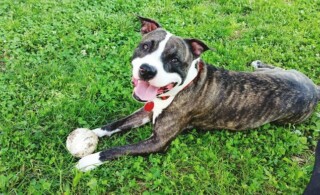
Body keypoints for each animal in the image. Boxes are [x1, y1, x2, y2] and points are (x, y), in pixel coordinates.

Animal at [75, 17, 320, 172]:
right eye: (146, 46)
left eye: (174, 59)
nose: (147, 70)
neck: (179, 88)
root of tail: (313, 89)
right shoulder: (146, 110)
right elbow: (115, 124)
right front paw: (90, 134)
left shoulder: (157, 142)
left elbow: (119, 149)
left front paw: (89, 160)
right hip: (279, 71)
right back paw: (258, 62)